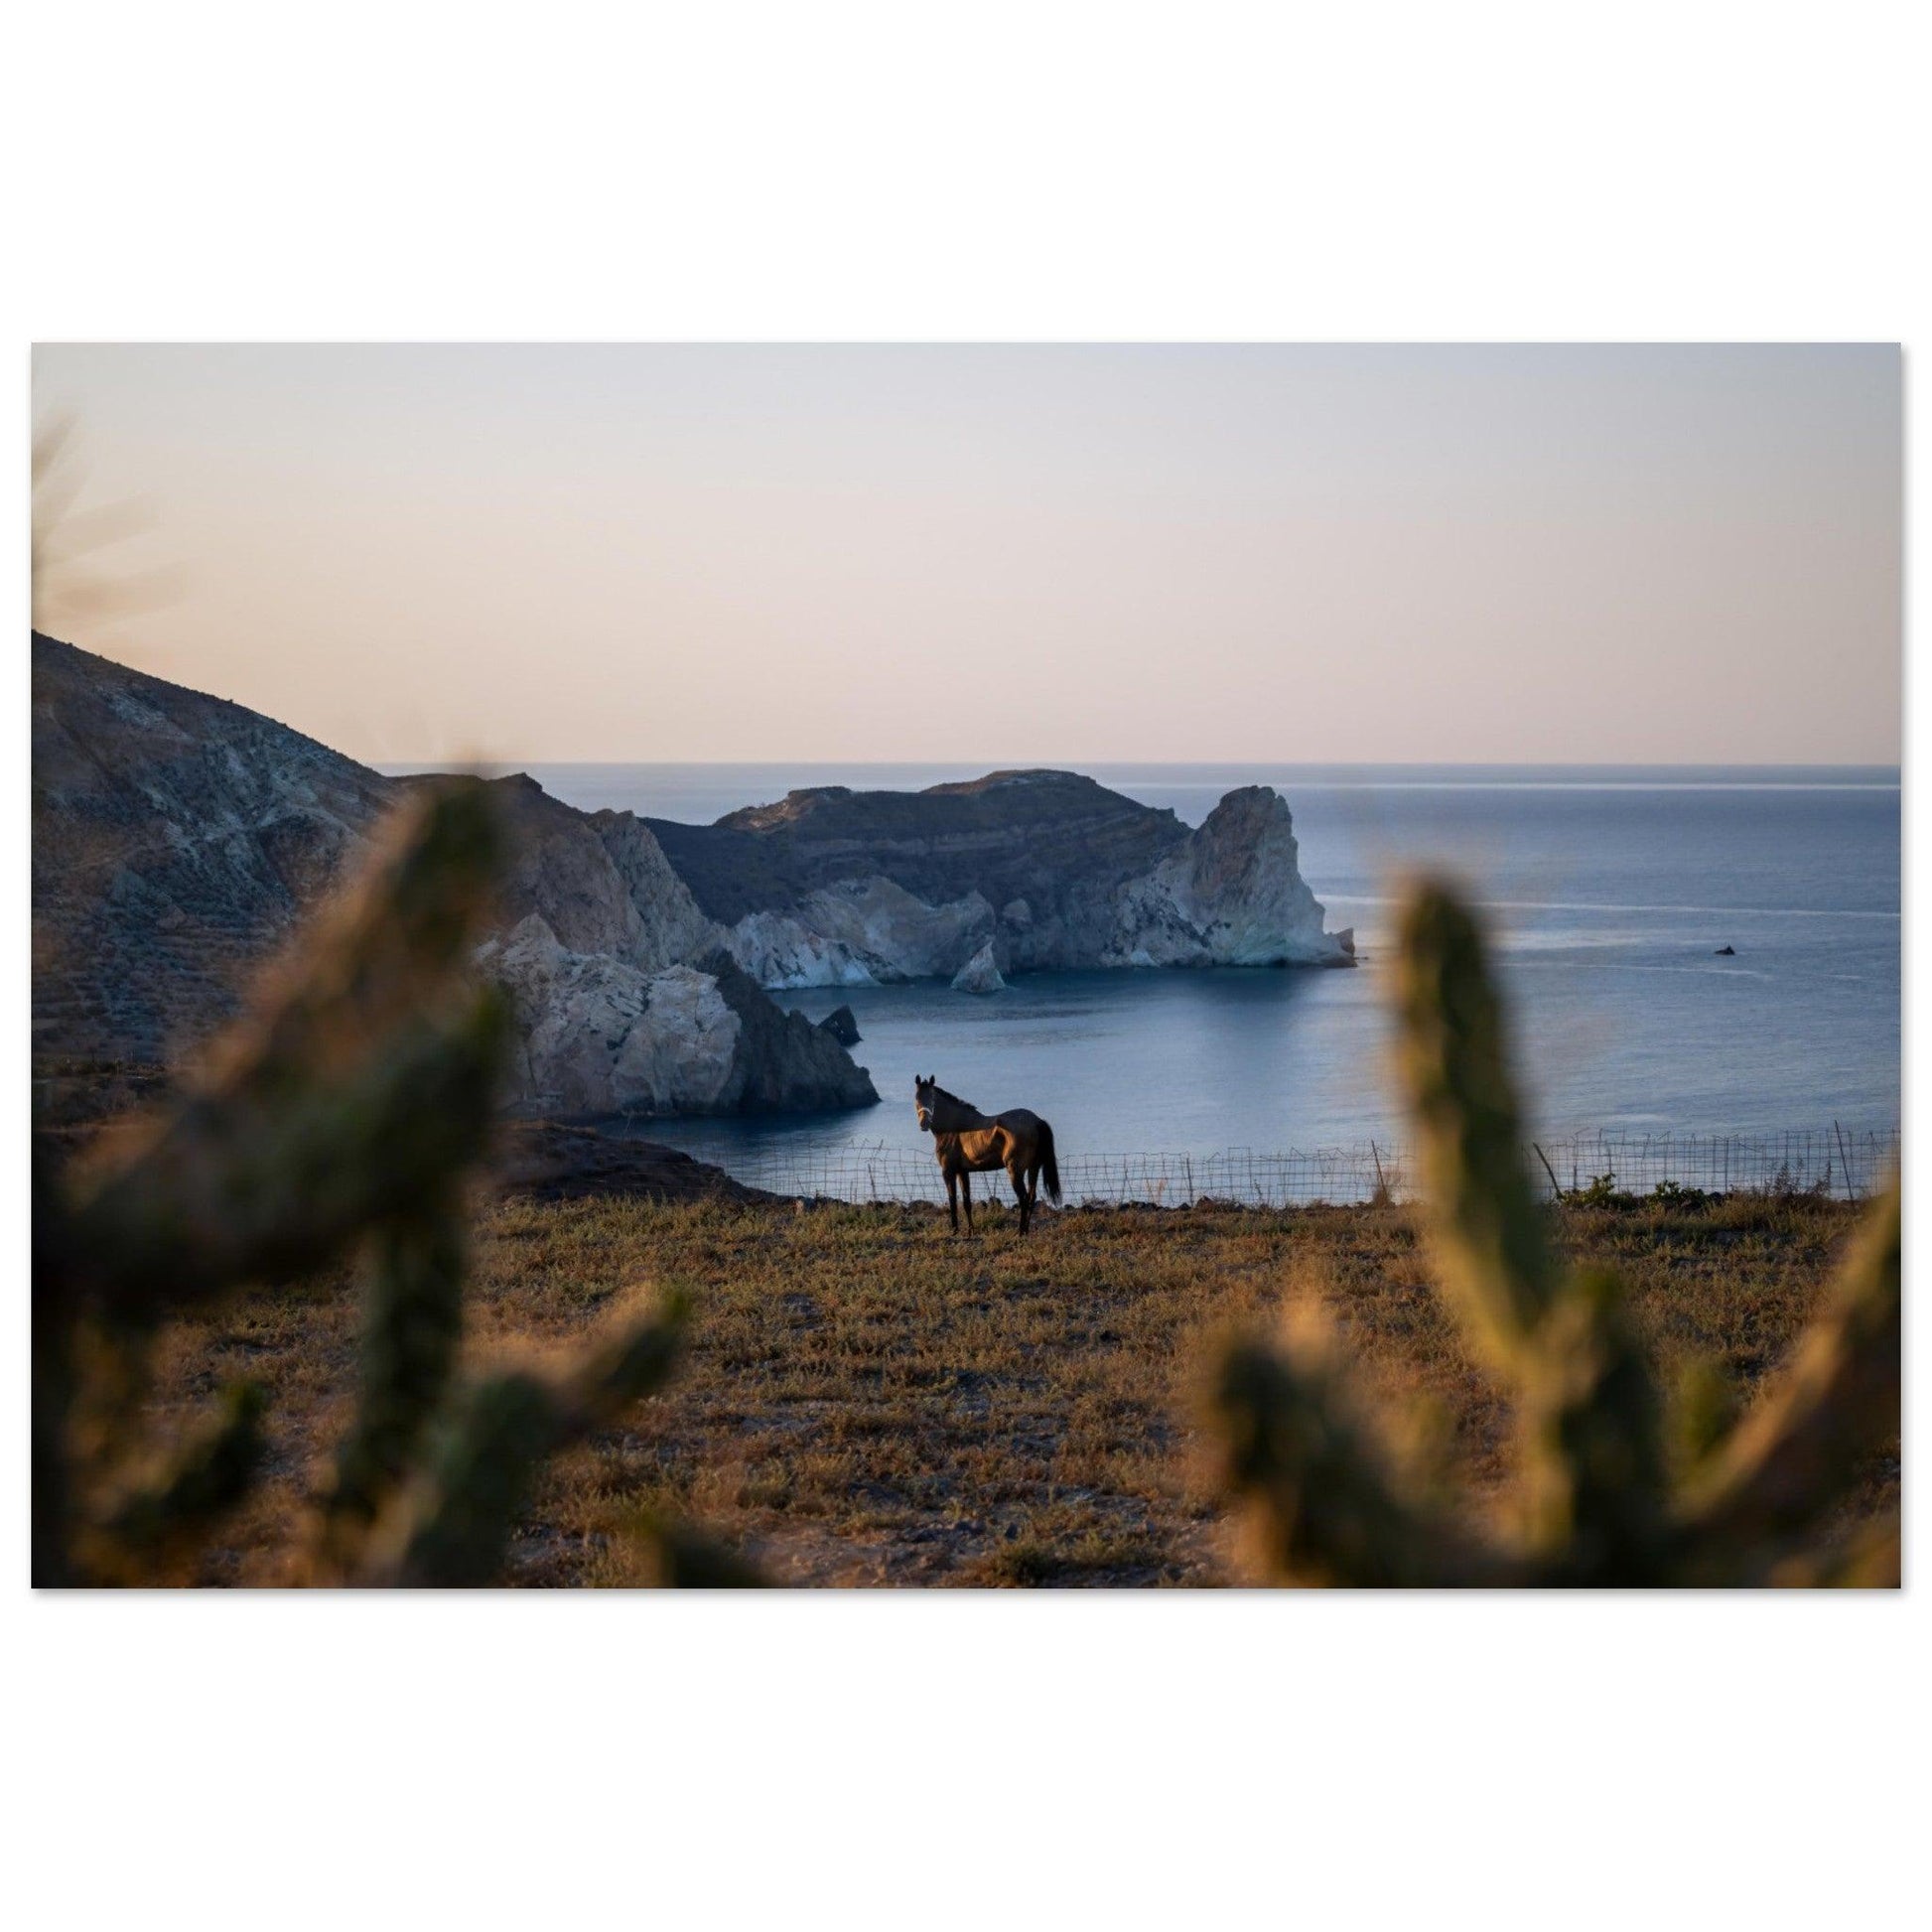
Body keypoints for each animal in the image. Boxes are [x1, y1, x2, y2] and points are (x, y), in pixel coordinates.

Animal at [911, 1073, 1066, 1236]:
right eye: (917, 1098)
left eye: (932, 1098)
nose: (924, 1124)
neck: (955, 1128)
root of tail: (1037, 1121)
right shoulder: (962, 1171)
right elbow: (966, 1202)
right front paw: (970, 1231)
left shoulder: (948, 1171)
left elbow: (953, 1200)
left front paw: (954, 1231)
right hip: (1033, 1168)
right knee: (1031, 1197)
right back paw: (1026, 1231)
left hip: (1015, 1170)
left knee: (1023, 1198)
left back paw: (1019, 1232)